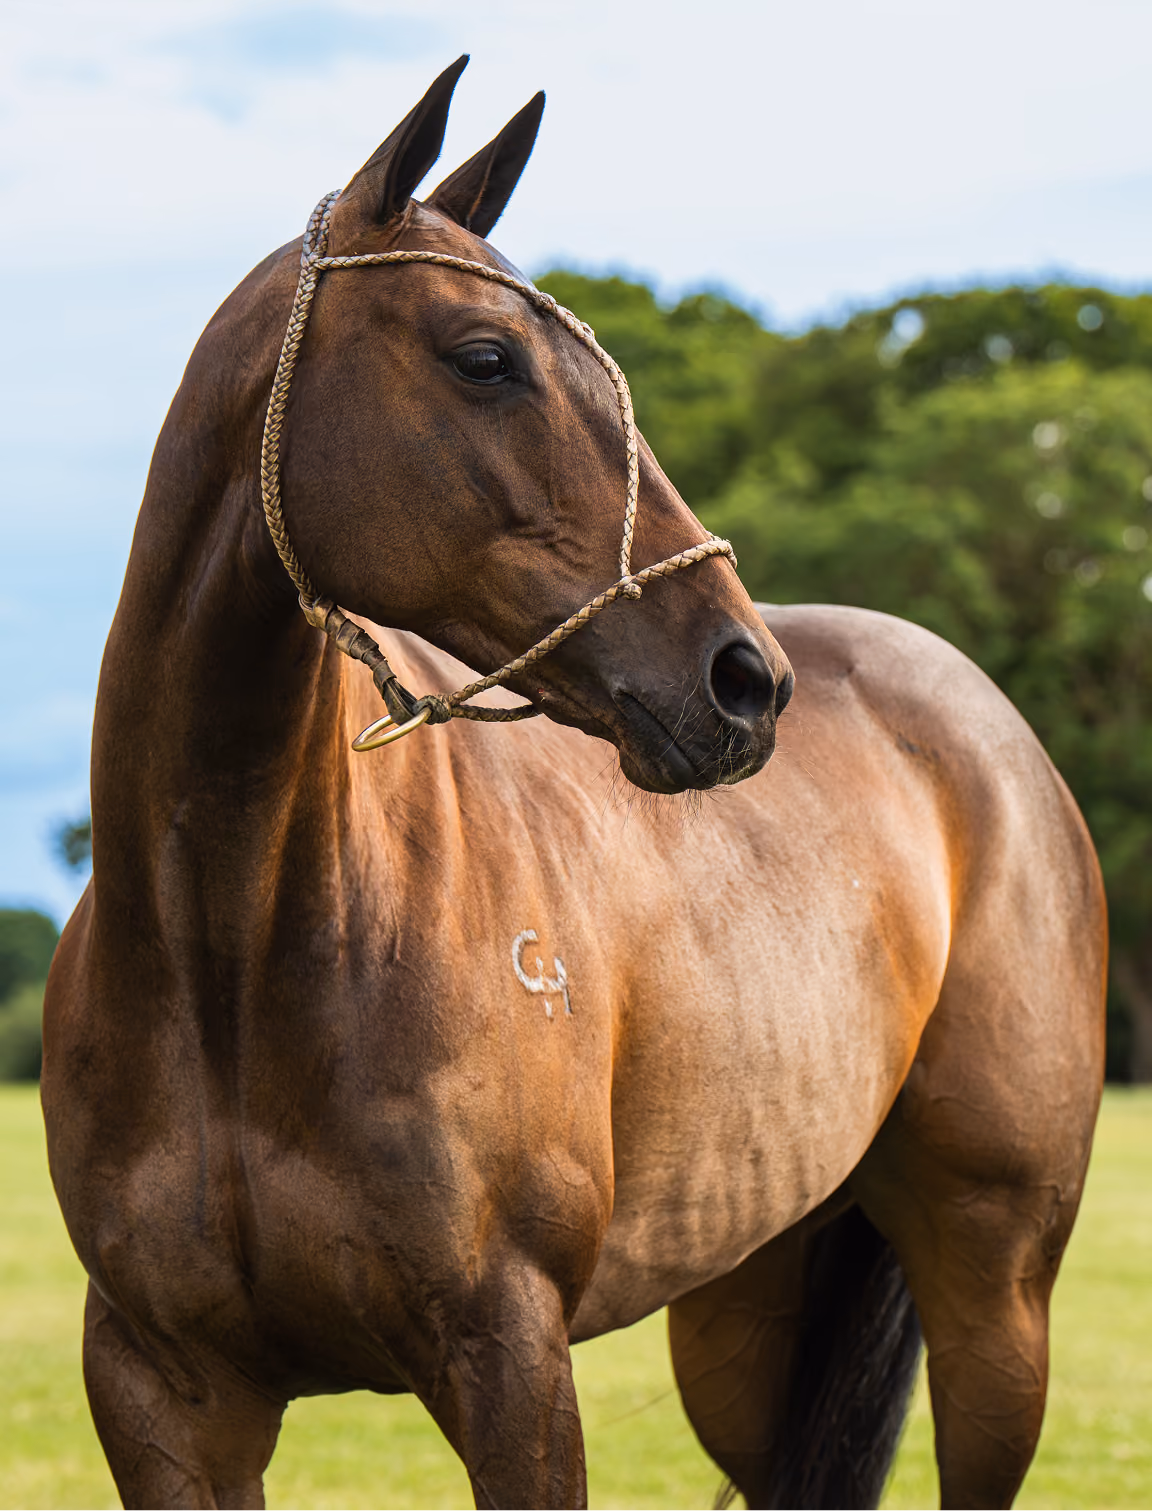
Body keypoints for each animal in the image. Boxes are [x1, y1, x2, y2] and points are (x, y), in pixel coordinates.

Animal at [42, 57, 1106, 1511]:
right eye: (485, 358)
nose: (743, 680)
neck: (234, 957)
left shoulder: (511, 1360)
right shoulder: (161, 1391)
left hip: (996, 1300)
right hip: (747, 1311)